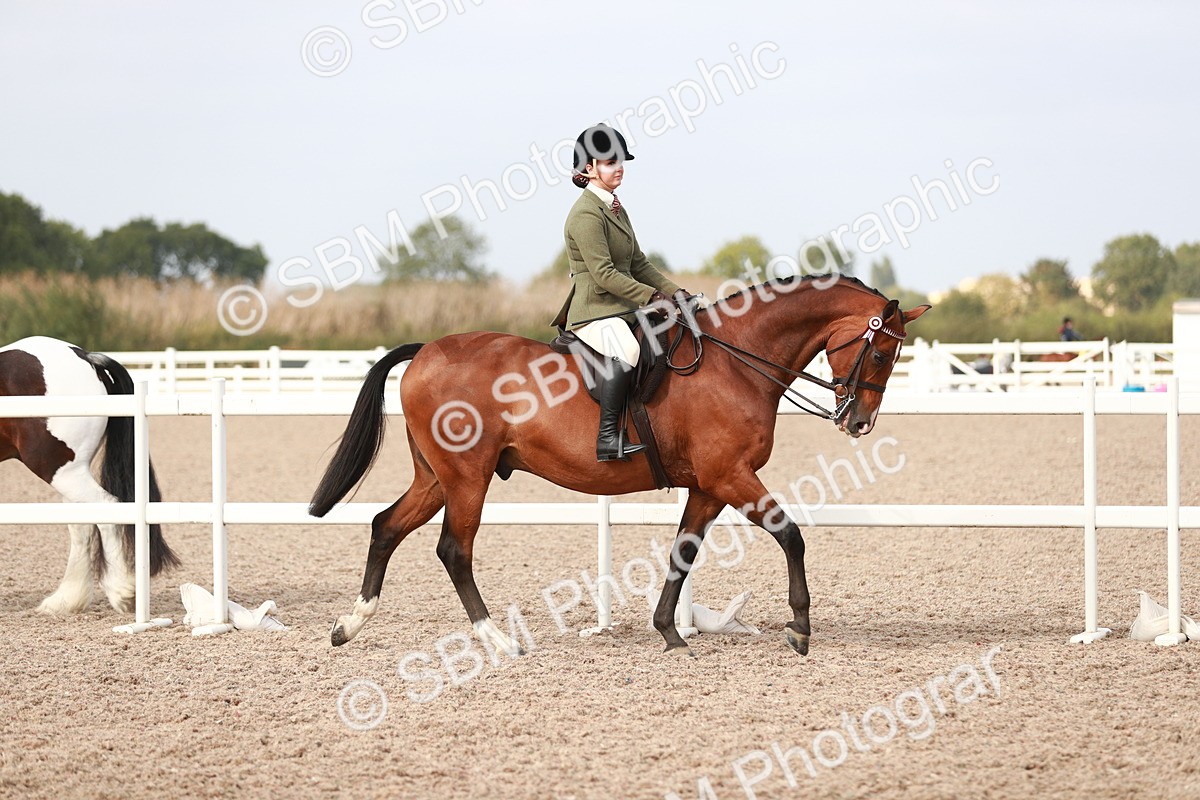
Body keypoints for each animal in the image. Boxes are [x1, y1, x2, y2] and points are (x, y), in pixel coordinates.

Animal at [0, 336, 178, 614]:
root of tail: (84, 356)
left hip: (61, 470)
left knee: (105, 510)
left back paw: (123, 592)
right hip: (72, 474)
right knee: (82, 523)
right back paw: (66, 600)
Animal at [310, 274, 930, 656]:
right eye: (881, 352)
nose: (860, 423)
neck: (738, 360)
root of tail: (427, 350)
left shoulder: (710, 486)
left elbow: (683, 552)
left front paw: (669, 633)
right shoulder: (732, 476)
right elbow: (790, 534)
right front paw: (799, 628)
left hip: (436, 477)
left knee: (386, 526)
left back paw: (348, 626)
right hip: (467, 477)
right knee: (453, 551)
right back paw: (499, 642)